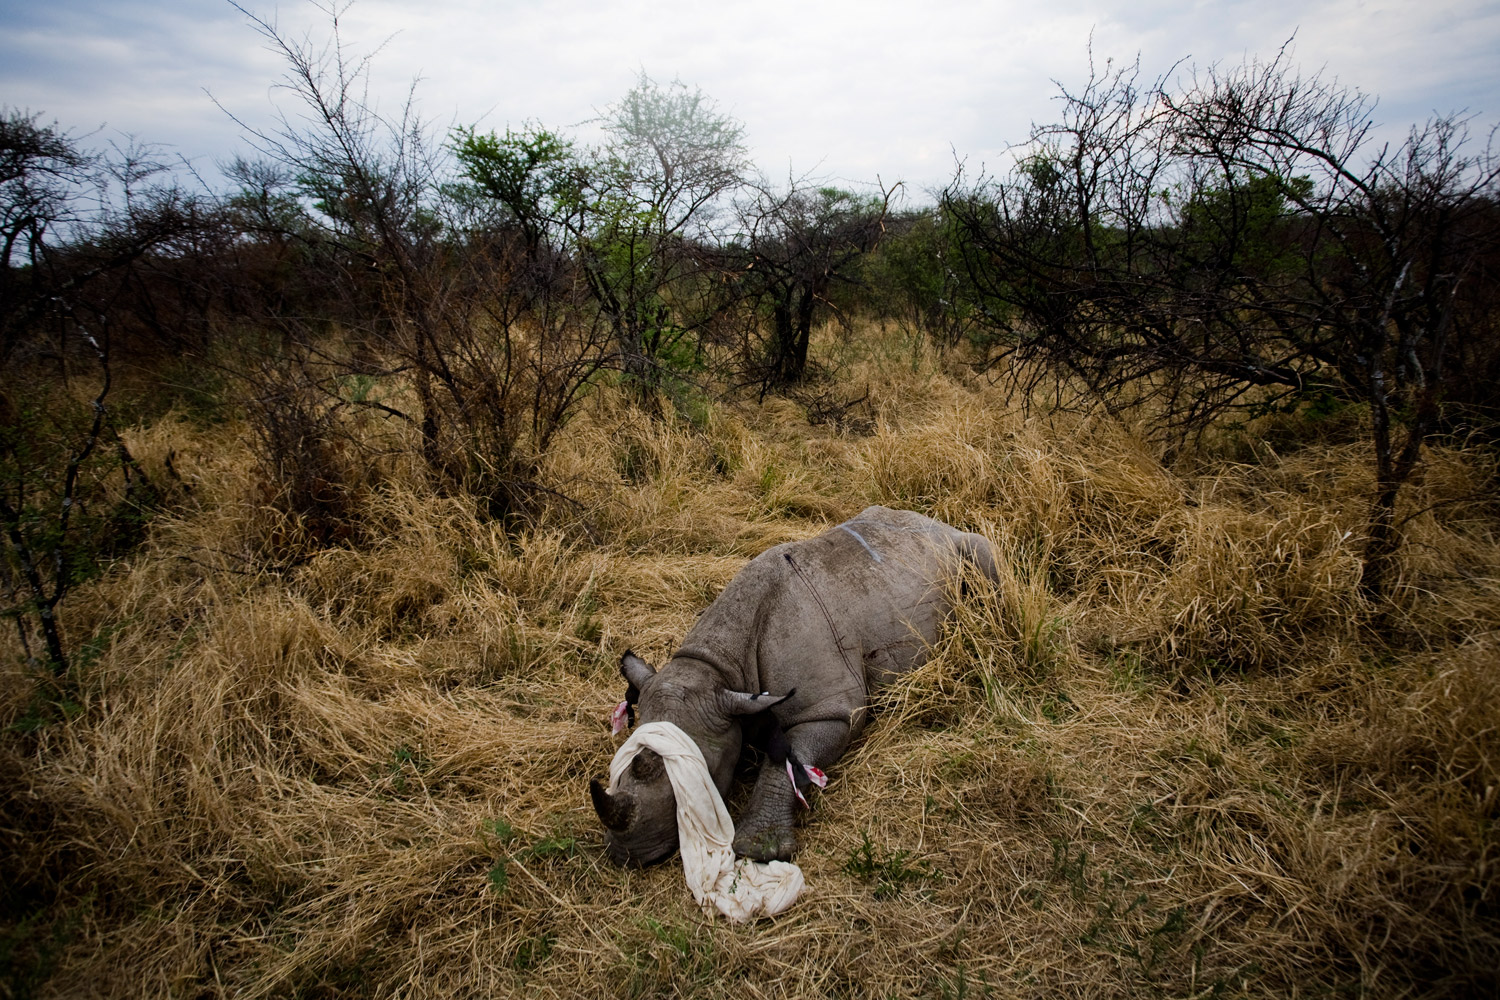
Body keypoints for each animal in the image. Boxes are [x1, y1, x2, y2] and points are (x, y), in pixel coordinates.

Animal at [591, 505, 997, 865]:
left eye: (697, 779)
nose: (627, 855)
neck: (720, 670)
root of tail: (933, 520)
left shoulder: (831, 710)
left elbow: (788, 758)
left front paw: (759, 851)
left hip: (960, 545)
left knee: (986, 558)